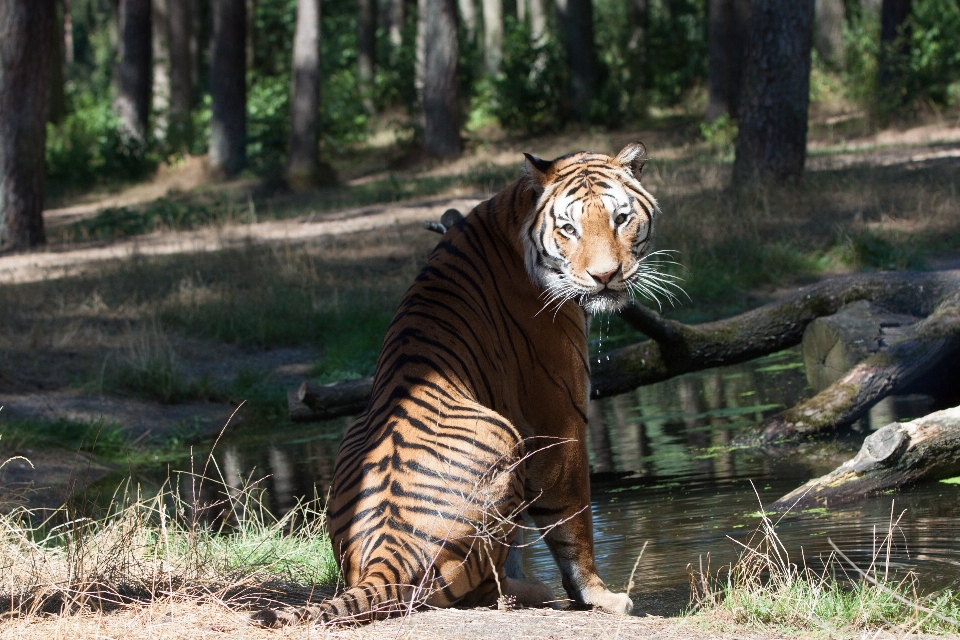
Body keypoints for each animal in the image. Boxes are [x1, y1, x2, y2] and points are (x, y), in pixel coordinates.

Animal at [251, 142, 664, 628]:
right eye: (569, 228)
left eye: (621, 218)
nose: (604, 276)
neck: (511, 214)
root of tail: (385, 558)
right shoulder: (558, 418)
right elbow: (573, 519)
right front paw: (600, 597)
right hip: (504, 436)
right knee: (482, 589)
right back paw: (535, 591)